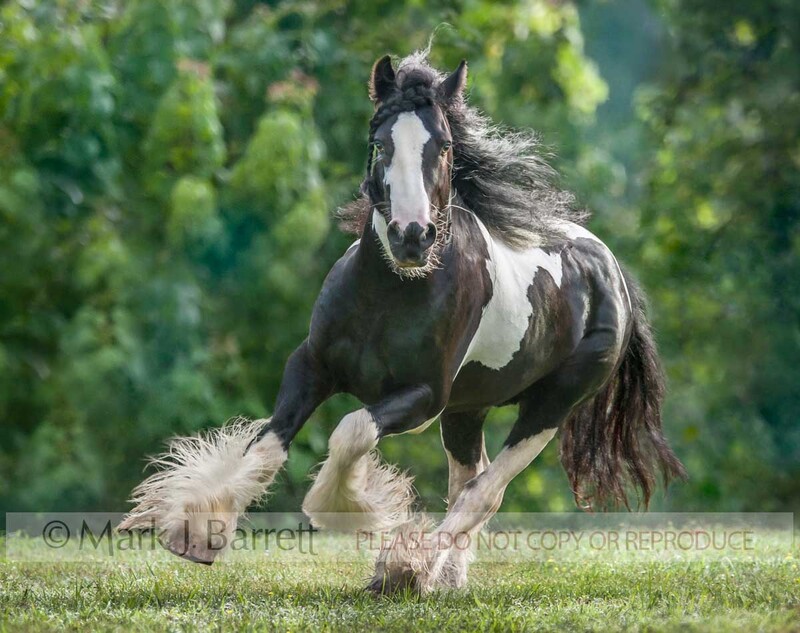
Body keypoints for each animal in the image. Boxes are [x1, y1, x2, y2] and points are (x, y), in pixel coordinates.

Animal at [119, 52, 686, 594]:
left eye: (445, 145)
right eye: (379, 143)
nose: (411, 237)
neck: (388, 298)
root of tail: (609, 269)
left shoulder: (423, 398)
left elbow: (352, 431)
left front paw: (346, 509)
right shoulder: (311, 365)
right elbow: (267, 444)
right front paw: (196, 532)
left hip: (550, 406)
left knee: (483, 492)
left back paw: (403, 572)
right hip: (468, 410)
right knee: (470, 481)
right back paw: (444, 579)